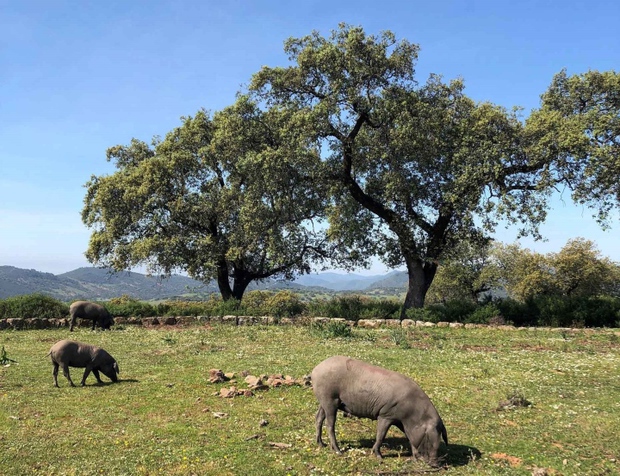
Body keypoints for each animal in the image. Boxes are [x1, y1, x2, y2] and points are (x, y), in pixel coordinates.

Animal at [312, 356, 448, 464]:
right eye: (429, 439)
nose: (435, 464)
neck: (412, 412)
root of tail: (315, 370)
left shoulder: (402, 422)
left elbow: (410, 438)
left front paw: (415, 458)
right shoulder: (386, 414)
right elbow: (381, 435)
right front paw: (379, 457)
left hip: (325, 401)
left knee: (318, 418)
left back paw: (321, 444)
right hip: (329, 399)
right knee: (330, 424)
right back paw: (338, 451)